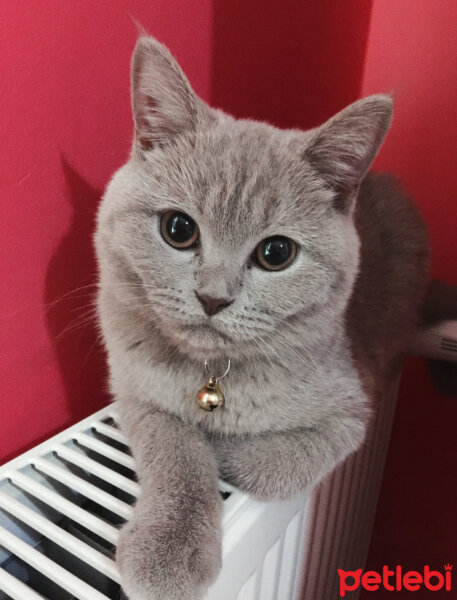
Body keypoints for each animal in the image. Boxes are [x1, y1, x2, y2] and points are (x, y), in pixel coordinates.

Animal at [94, 36, 430, 600]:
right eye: (178, 229)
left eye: (276, 253)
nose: (212, 298)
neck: (213, 379)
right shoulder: (134, 391)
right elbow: (175, 448)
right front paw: (169, 547)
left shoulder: (352, 410)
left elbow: (277, 466)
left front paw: (225, 452)